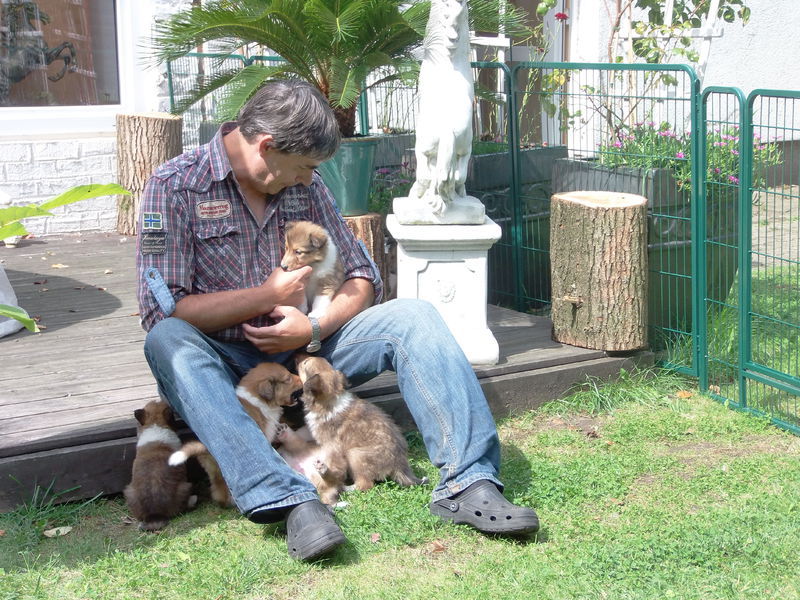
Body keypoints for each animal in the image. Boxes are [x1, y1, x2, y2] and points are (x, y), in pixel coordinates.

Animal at [168, 362, 303, 506]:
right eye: (288, 379)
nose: (301, 378)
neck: (257, 399)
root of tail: (205, 446)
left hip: (214, 471)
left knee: (218, 492)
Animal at [295, 355, 424, 504]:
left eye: (305, 363)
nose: (296, 356)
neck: (331, 399)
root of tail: (399, 464)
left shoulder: (332, 447)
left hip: (355, 455)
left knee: (366, 484)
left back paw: (347, 488)